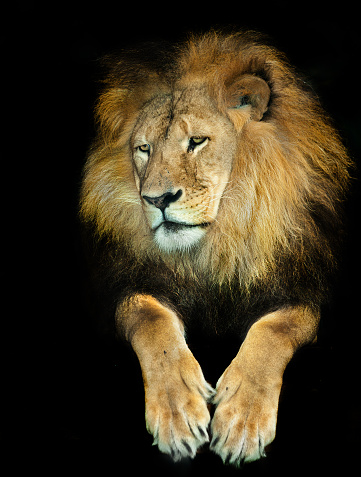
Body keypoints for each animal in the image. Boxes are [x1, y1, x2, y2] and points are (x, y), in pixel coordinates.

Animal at [79, 31, 348, 466]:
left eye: (197, 142)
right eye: (144, 148)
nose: (157, 199)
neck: (219, 242)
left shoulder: (306, 289)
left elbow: (275, 329)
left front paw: (242, 422)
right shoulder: (126, 287)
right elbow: (150, 320)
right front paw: (177, 414)